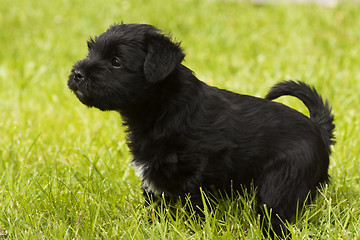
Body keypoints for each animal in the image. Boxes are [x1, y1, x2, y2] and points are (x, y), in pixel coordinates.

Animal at [67, 23, 334, 237]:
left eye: (116, 62)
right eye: (91, 51)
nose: (77, 73)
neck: (165, 107)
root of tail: (317, 128)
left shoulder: (195, 175)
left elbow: (193, 207)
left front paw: (190, 230)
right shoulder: (154, 176)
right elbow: (155, 207)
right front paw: (151, 227)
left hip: (282, 181)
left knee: (274, 211)